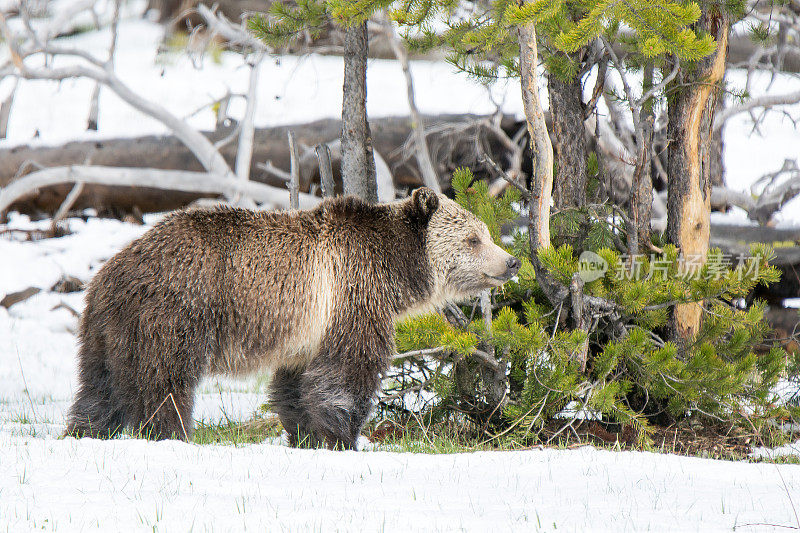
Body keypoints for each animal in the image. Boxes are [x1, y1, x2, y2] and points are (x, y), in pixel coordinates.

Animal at [65, 189, 520, 446]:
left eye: (484, 232)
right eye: (473, 238)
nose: (512, 261)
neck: (394, 269)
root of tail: (110, 273)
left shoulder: (307, 333)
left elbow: (296, 385)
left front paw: (305, 434)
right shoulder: (351, 296)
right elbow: (347, 373)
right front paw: (343, 436)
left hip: (108, 332)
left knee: (98, 389)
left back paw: (85, 432)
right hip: (175, 313)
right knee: (164, 384)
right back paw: (172, 435)